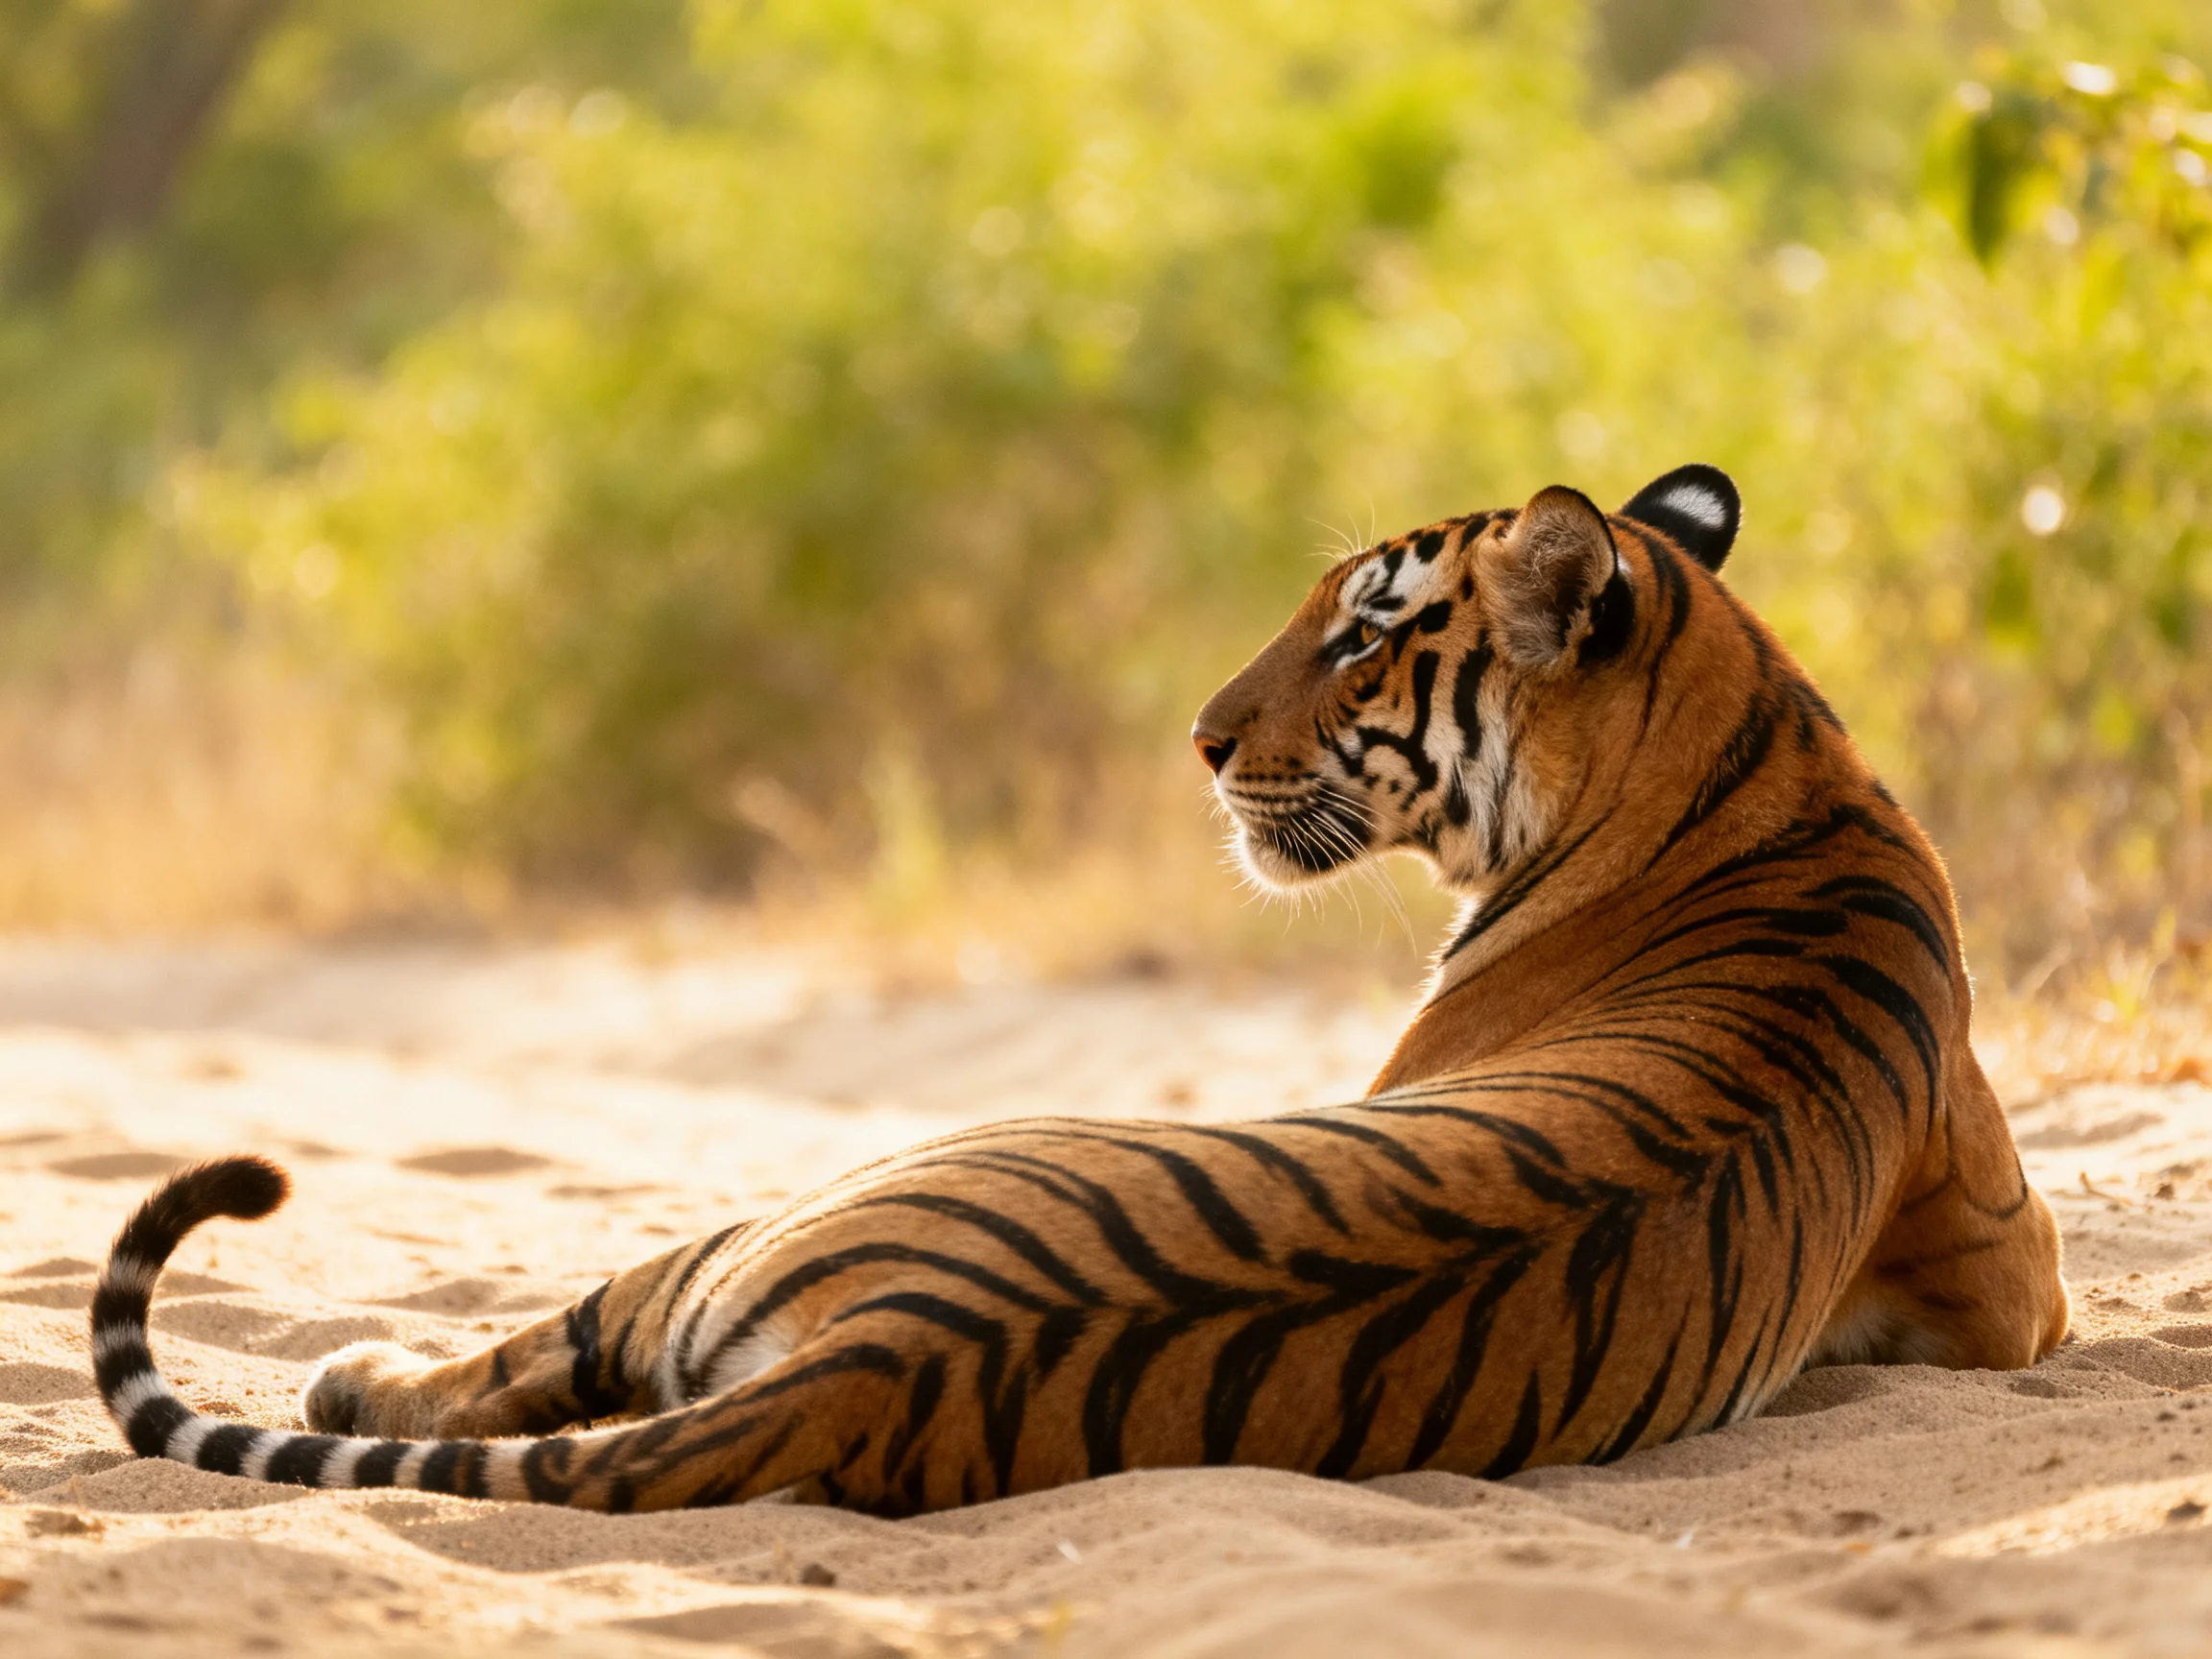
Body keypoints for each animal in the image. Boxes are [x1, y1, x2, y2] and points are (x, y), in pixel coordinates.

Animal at [89, 464, 2069, 1515]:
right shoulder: (2005, 1268)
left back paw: (353, 1365)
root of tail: (888, 1346)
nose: (1192, 738)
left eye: (1359, 630)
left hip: (770, 1213)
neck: (1761, 751)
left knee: (508, 1360)